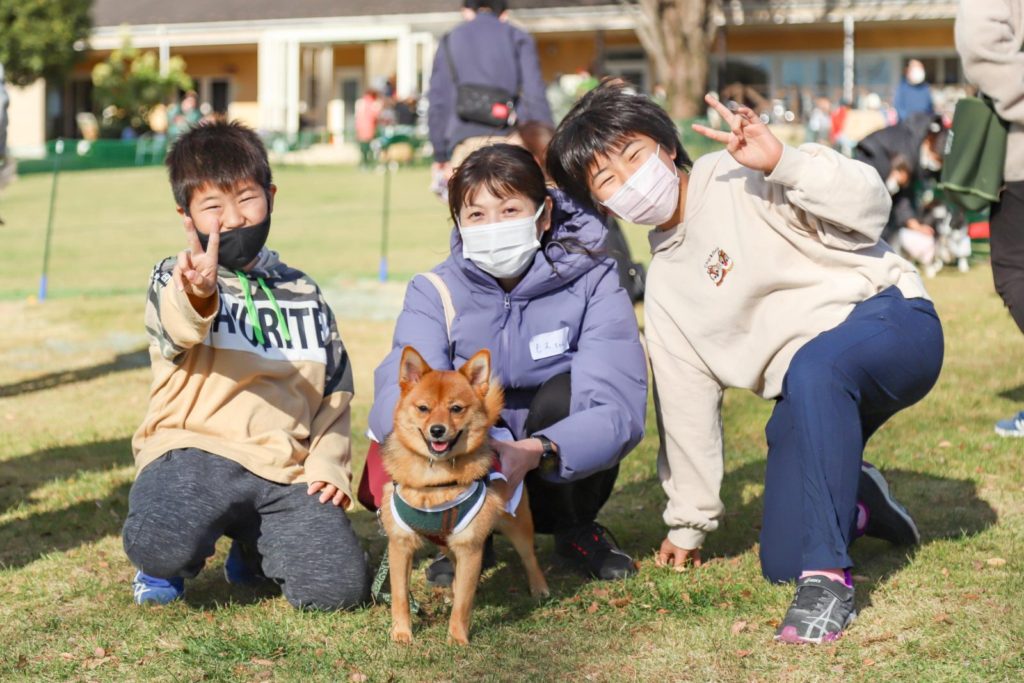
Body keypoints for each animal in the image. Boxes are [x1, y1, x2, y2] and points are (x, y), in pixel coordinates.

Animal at [379, 346, 549, 645]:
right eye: (423, 408)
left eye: (456, 409)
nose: (437, 430)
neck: (435, 480)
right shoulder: (400, 544)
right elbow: (400, 596)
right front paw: (401, 633)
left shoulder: (470, 547)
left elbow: (464, 604)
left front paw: (457, 639)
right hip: (449, 543)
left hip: (516, 524)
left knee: (529, 557)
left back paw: (539, 587)